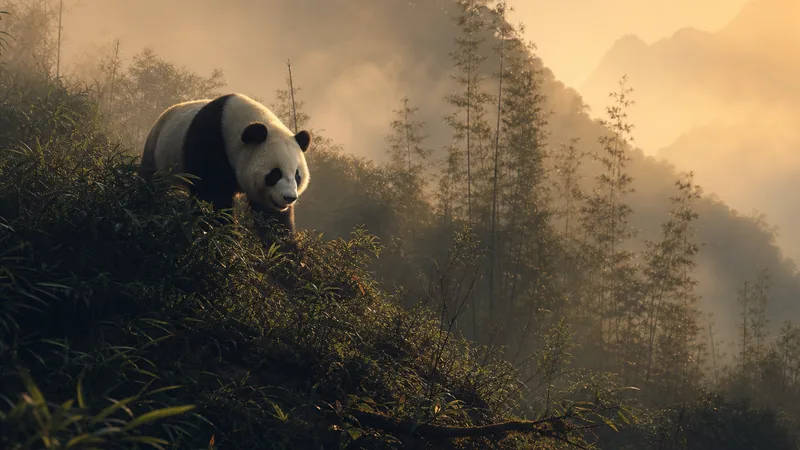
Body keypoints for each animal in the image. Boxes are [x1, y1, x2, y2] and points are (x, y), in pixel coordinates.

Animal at [138, 93, 311, 235]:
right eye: (275, 173)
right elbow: (213, 200)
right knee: (150, 183)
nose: (289, 198)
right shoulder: (210, 147)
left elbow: (272, 218)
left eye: (297, 175)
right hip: (156, 150)